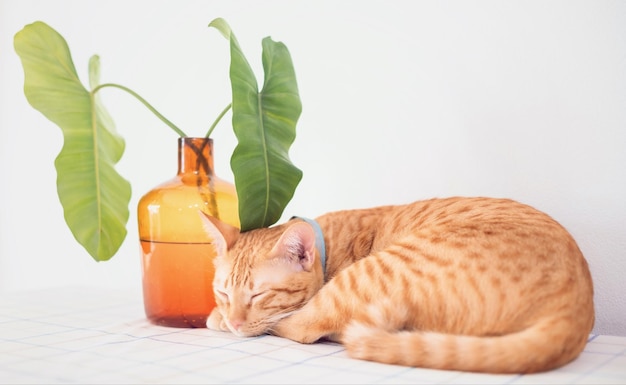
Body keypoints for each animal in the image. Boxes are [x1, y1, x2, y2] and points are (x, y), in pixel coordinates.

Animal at [199, 196, 588, 370]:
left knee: (308, 326)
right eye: (222, 293)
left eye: (259, 295)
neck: (328, 244)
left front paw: (221, 321)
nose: (235, 322)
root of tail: (577, 309)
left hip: (378, 270)